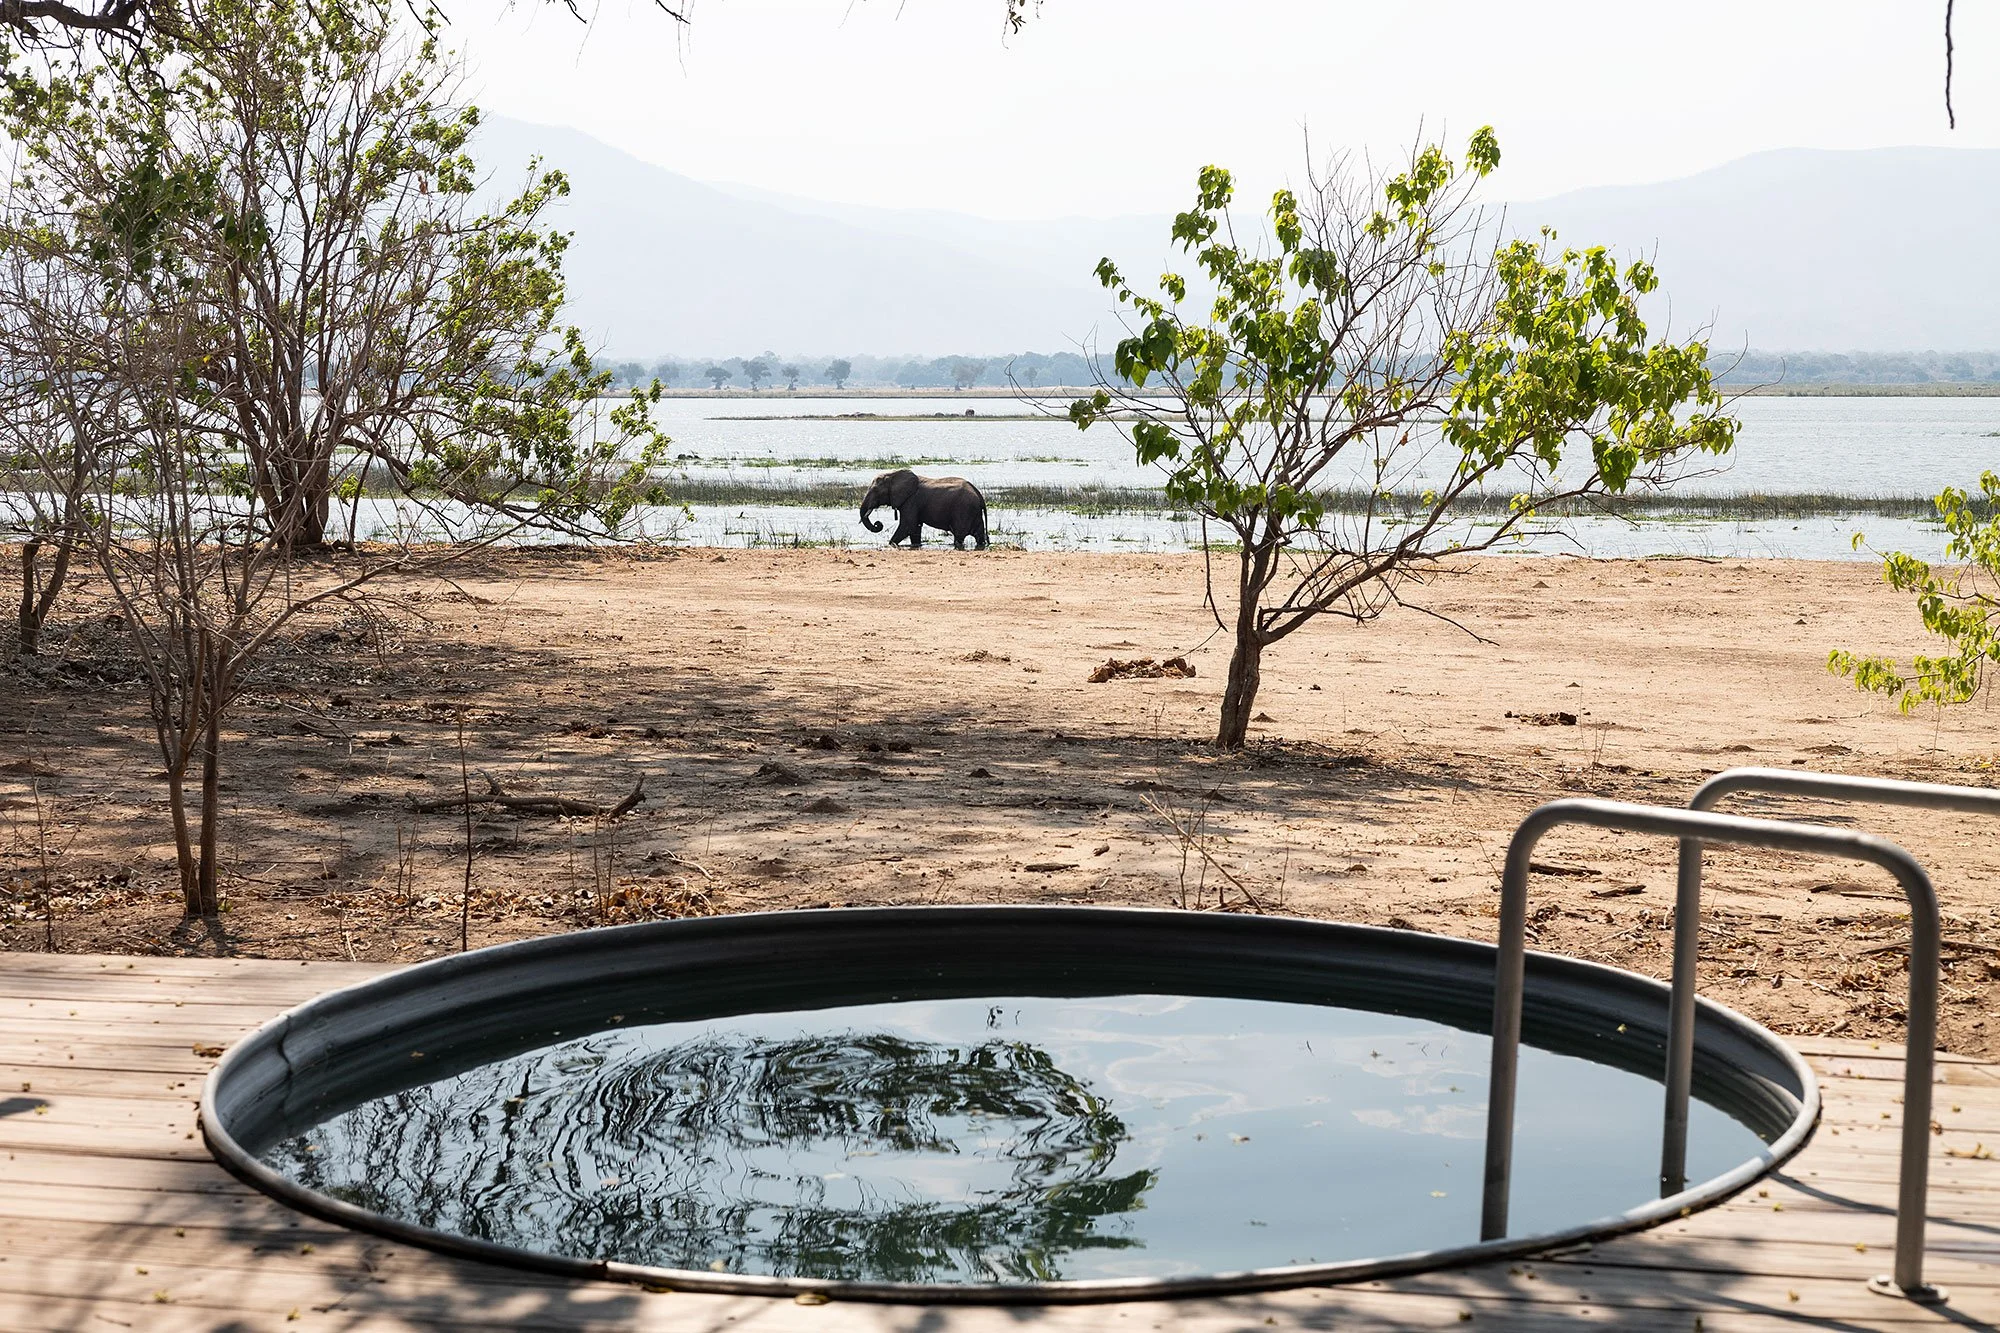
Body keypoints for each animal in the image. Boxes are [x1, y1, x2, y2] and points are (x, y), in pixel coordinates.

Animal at [858, 469, 989, 549]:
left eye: (876, 490)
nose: (878, 524)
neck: (893, 474)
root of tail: (979, 495)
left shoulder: (911, 501)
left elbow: (907, 526)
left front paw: (891, 544)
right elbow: (915, 529)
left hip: (964, 510)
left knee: (959, 537)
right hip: (973, 512)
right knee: (979, 535)